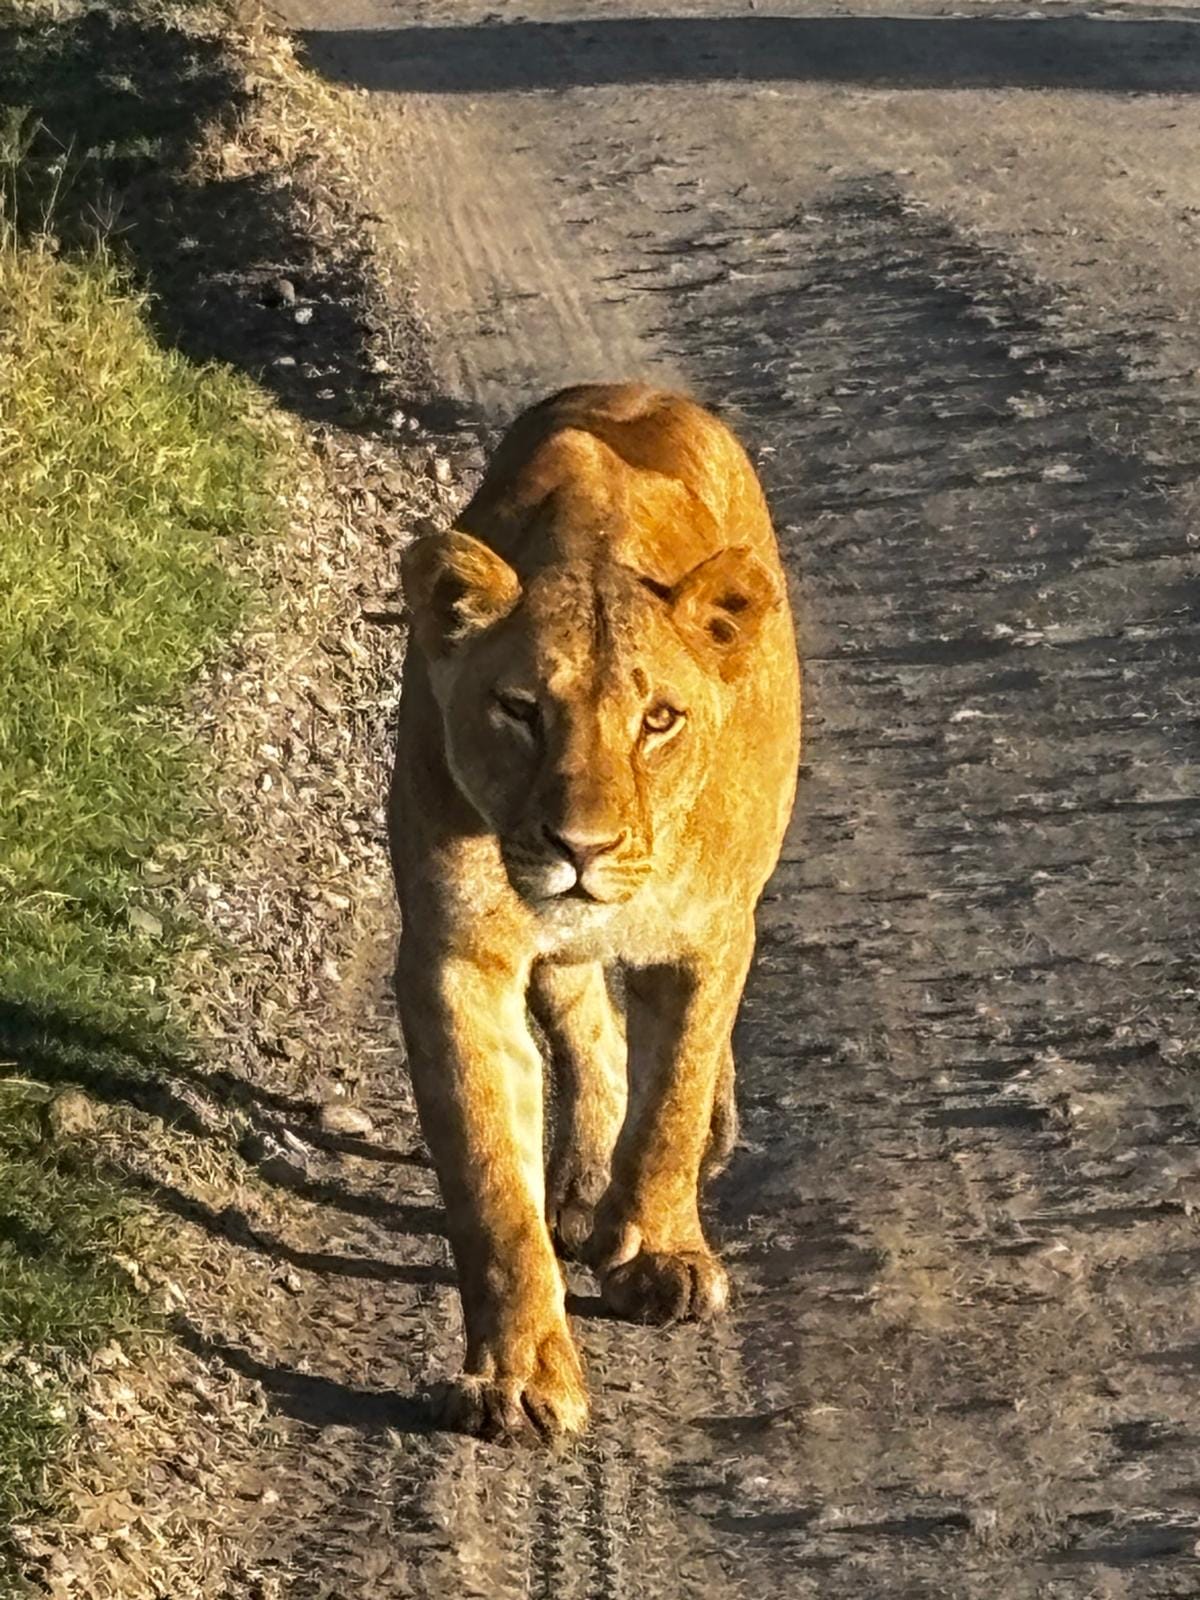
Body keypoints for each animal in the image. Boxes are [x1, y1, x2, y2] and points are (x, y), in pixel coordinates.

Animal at [389, 382, 801, 1439]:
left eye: (658, 720)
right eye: (520, 709)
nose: (583, 849)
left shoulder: (707, 937)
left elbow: (674, 1099)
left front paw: (659, 1256)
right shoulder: (457, 957)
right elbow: (492, 1181)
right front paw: (519, 1376)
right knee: (587, 1024)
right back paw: (580, 1191)